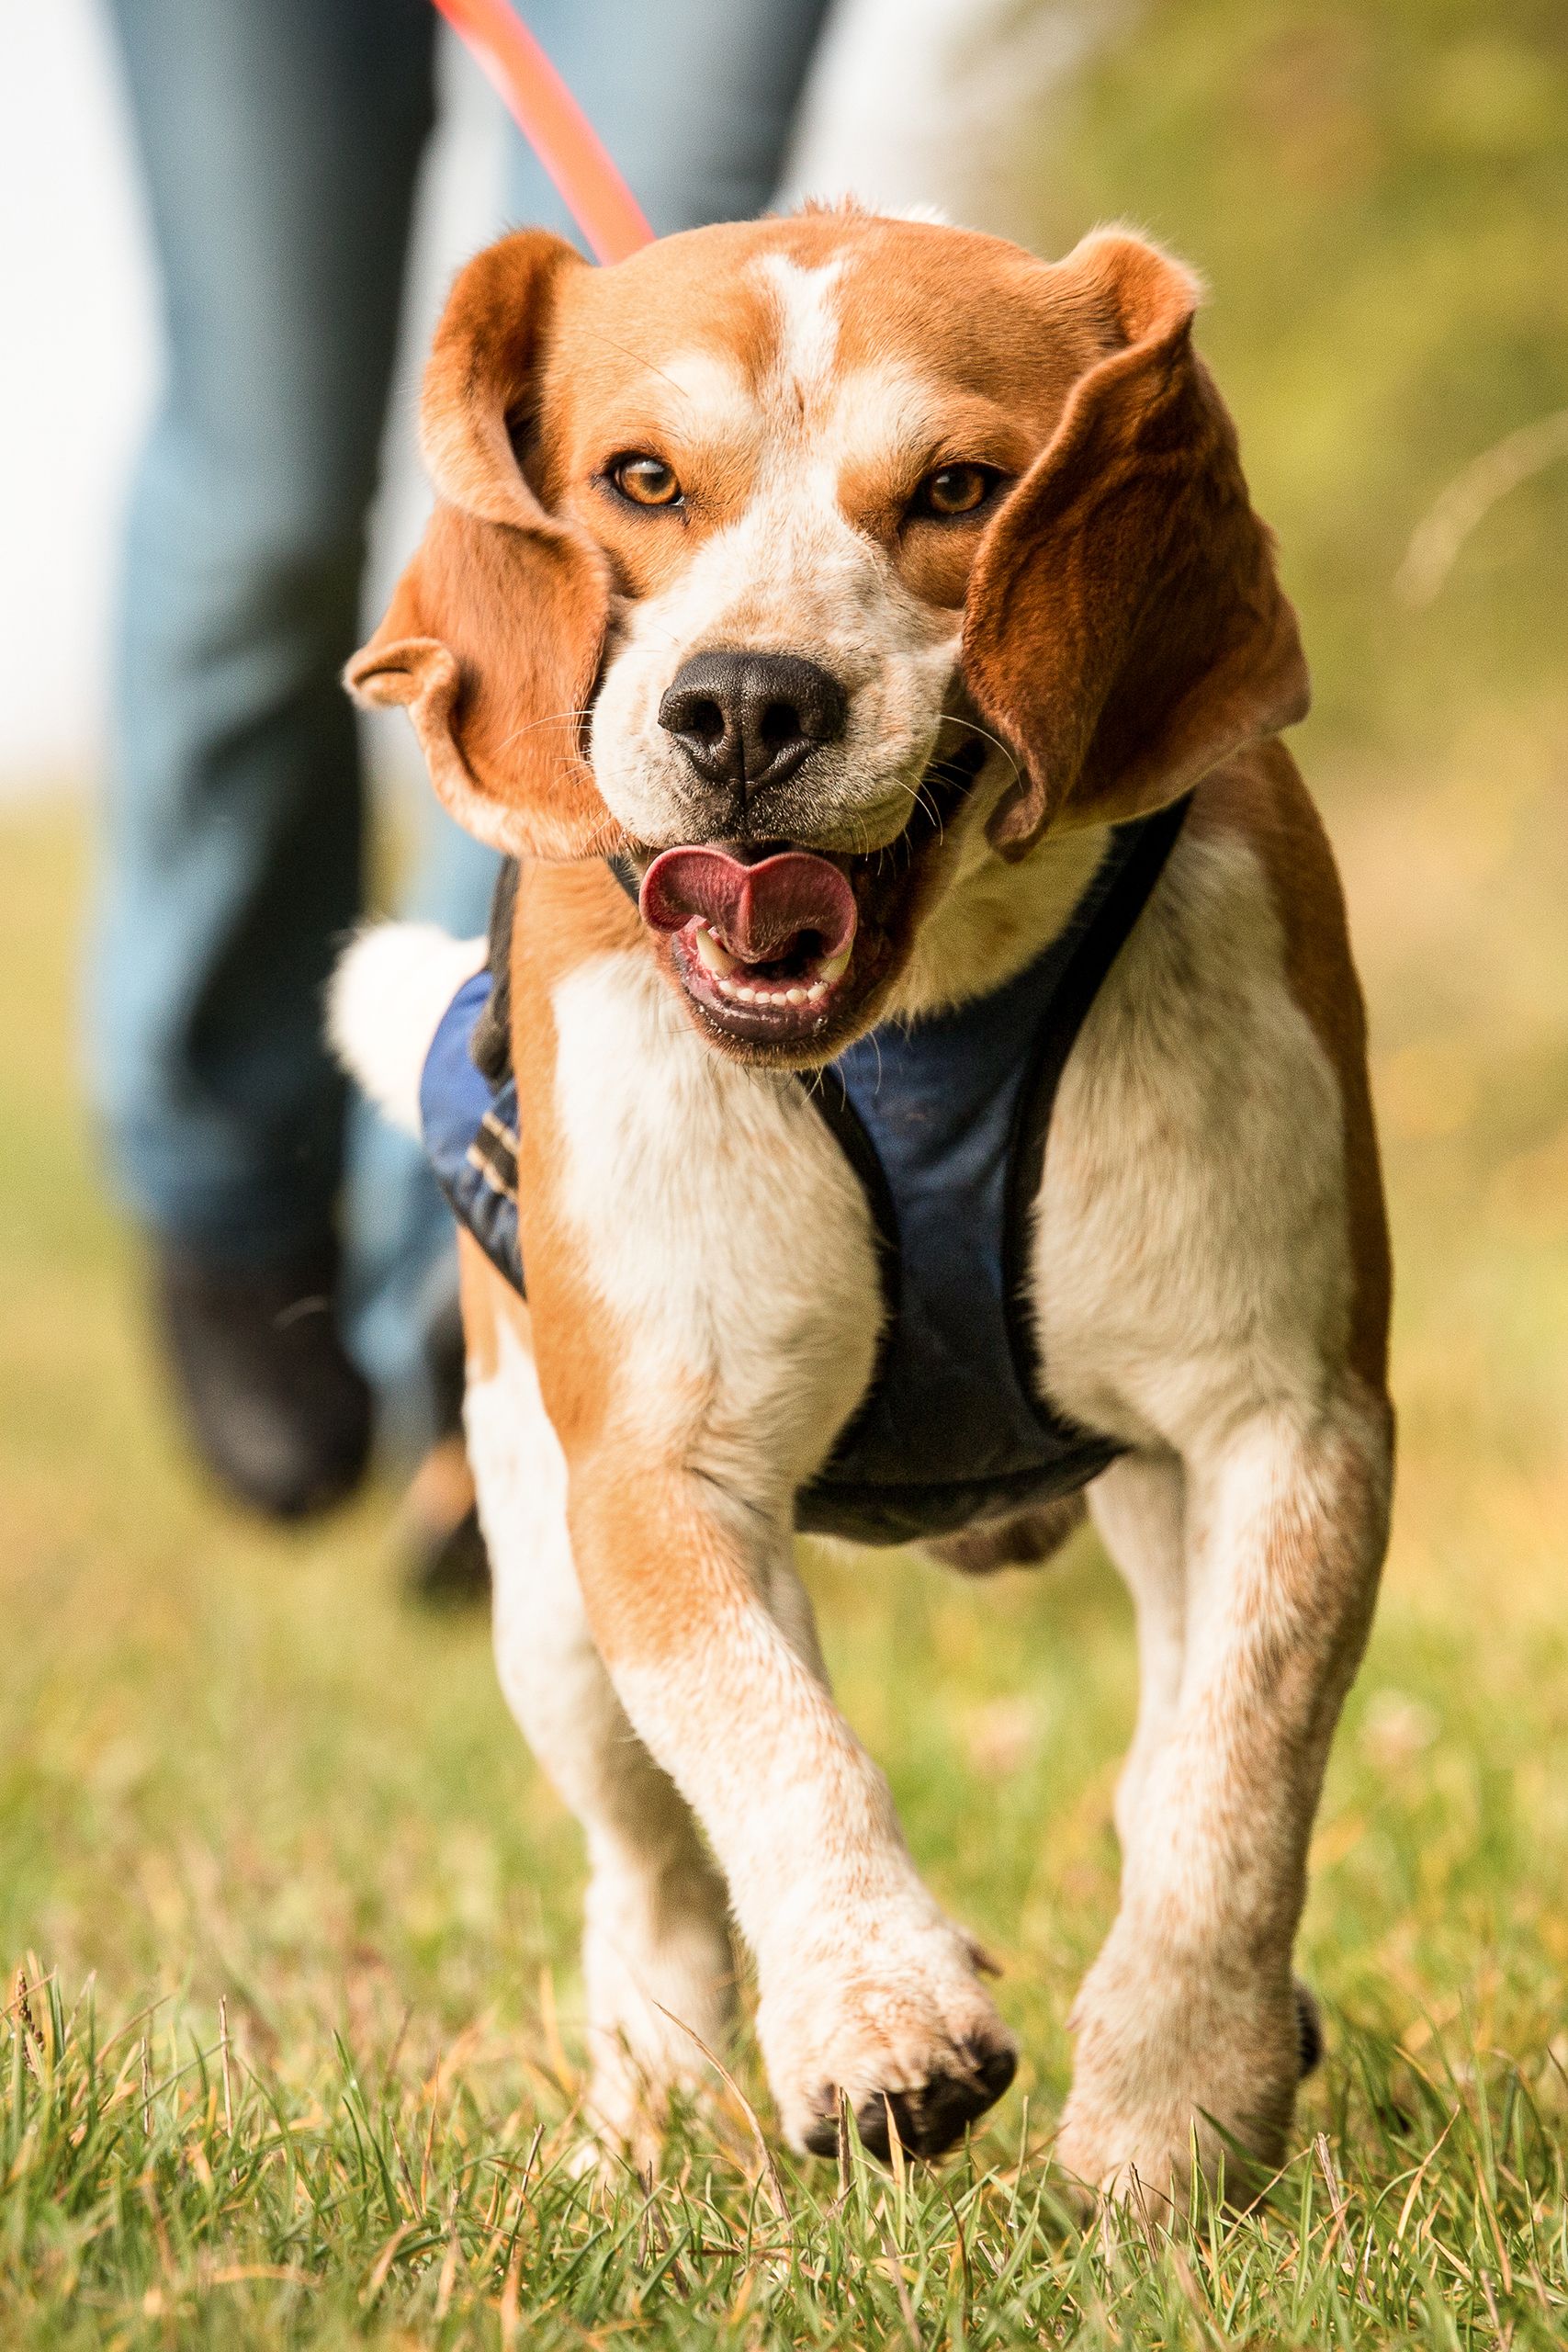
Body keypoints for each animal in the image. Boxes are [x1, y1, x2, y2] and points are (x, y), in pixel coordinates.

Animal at [338, 207, 1392, 2201]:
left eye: (962, 488)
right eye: (641, 479)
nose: (747, 702)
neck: (919, 1019)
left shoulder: (1286, 1421)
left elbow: (1230, 1787)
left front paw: (1172, 2105)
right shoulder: (654, 1467)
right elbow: (769, 1739)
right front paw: (875, 2016)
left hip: (1154, 1492)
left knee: (1165, 1743)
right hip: (540, 1593)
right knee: (649, 1873)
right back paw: (650, 2114)